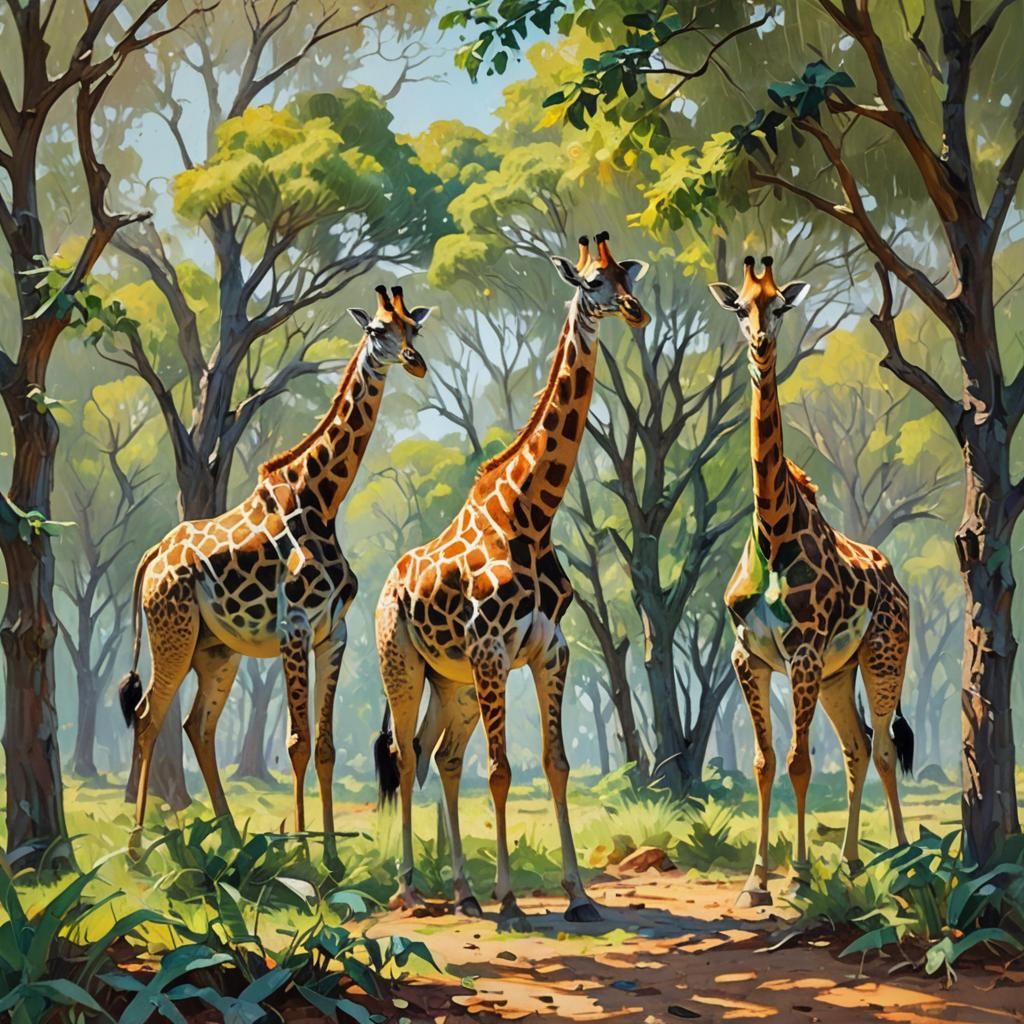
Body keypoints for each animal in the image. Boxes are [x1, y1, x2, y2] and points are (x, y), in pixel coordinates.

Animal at [118, 284, 432, 861]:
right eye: (377, 330)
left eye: (413, 328)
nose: (415, 362)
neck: (324, 499)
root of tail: (151, 557)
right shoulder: (294, 627)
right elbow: (297, 742)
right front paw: (304, 856)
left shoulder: (334, 632)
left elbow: (326, 746)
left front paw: (331, 857)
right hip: (171, 633)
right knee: (150, 716)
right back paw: (136, 852)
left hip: (216, 651)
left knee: (198, 726)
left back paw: (229, 839)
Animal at [374, 233, 649, 924]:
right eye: (591, 283)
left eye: (626, 277)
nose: (636, 312)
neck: (530, 513)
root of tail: (387, 584)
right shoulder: (493, 650)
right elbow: (501, 772)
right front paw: (511, 902)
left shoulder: (550, 651)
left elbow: (556, 764)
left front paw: (578, 896)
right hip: (404, 663)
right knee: (404, 755)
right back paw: (412, 889)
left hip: (455, 683)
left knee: (440, 757)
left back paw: (462, 892)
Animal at [709, 256, 913, 908]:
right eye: (740, 306)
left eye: (780, 305)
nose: (760, 343)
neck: (773, 533)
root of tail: (897, 583)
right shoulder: (748, 656)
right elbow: (764, 763)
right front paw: (756, 881)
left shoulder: (801, 651)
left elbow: (799, 761)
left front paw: (797, 875)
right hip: (836, 675)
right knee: (855, 748)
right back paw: (850, 863)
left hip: (882, 656)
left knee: (881, 746)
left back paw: (906, 864)